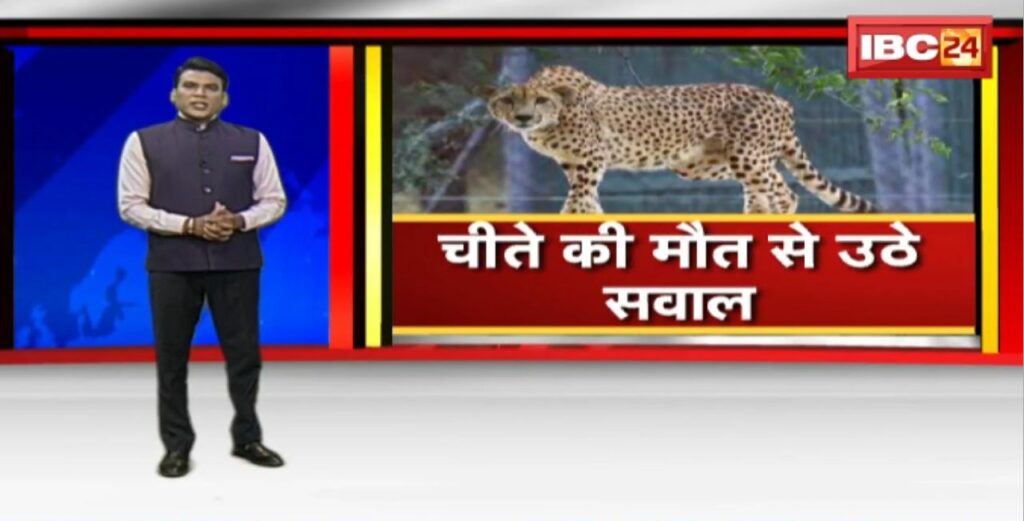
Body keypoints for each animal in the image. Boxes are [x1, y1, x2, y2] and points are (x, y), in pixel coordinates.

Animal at [485, 65, 876, 214]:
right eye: (507, 100)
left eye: (539, 100)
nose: (523, 118)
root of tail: (781, 101)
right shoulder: (573, 163)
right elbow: (587, 199)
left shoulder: (591, 158)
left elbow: (578, 199)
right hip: (708, 162)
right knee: (771, 186)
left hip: (746, 156)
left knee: (785, 194)